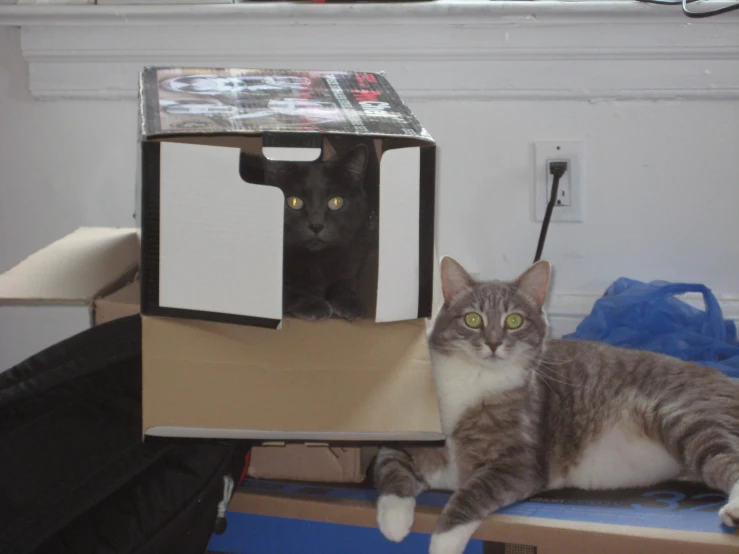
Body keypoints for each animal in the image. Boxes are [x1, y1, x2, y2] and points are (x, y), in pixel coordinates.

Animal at [376, 256, 739, 552]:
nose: (493, 344)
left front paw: (443, 541)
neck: (476, 378)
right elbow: (389, 467)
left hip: (686, 415)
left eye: (514, 321)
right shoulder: (406, 434)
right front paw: (394, 521)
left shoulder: (519, 464)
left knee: (728, 459)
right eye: (473, 320)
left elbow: (473, 492)